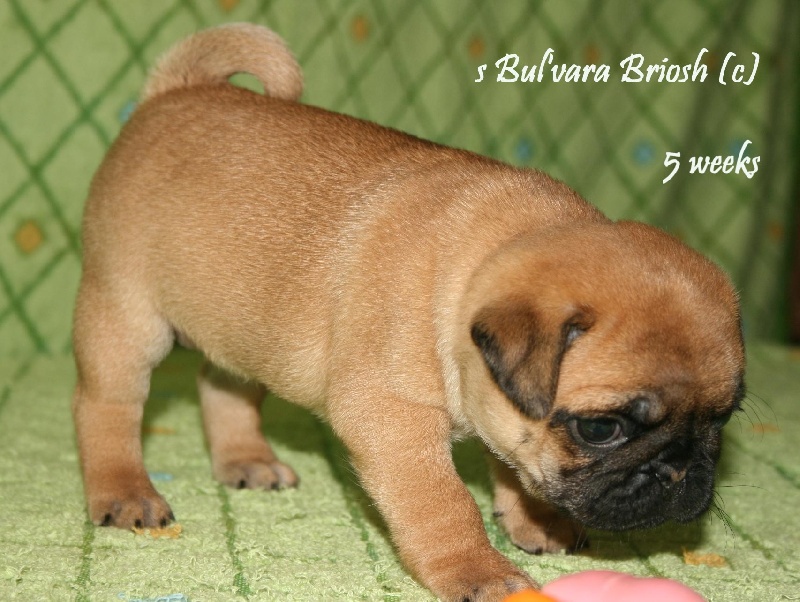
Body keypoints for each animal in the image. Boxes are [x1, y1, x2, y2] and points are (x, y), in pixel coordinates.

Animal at [72, 23, 745, 601]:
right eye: (601, 429)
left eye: (724, 418)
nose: (680, 470)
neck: (478, 263)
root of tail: (175, 92)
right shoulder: (392, 418)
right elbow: (442, 501)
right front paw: (476, 570)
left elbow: (511, 462)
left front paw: (534, 519)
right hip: (125, 313)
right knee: (106, 407)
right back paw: (126, 493)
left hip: (241, 323)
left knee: (223, 384)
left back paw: (247, 461)